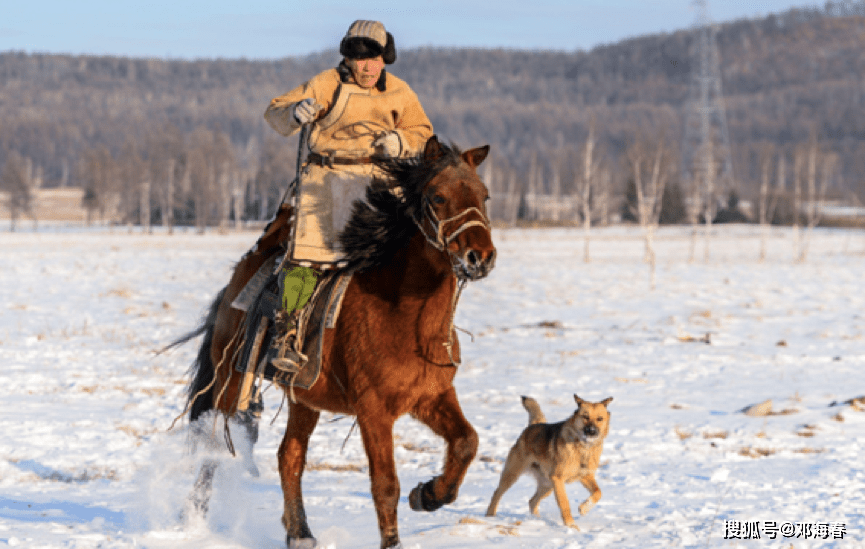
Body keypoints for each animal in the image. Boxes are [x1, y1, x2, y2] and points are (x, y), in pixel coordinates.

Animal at [179, 136, 496, 548]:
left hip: (304, 398)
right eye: (438, 197)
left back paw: (300, 534)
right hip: (231, 383)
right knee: (214, 447)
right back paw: (195, 520)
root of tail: (238, 281)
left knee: (289, 455)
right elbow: (385, 485)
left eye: (483, 195)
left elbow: (466, 442)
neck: (405, 318)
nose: (481, 257)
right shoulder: (374, 411)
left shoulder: (431, 397)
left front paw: (428, 495)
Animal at [482, 394, 612, 528]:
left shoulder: (586, 476)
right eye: (585, 416)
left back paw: (536, 520)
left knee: (532, 501)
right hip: (513, 474)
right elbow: (564, 503)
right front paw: (571, 525)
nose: (591, 431)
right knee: (497, 493)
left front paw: (584, 508)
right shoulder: (558, 479)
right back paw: (490, 515)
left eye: (600, 419)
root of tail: (532, 426)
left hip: (547, 484)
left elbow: (598, 492)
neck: (583, 448)